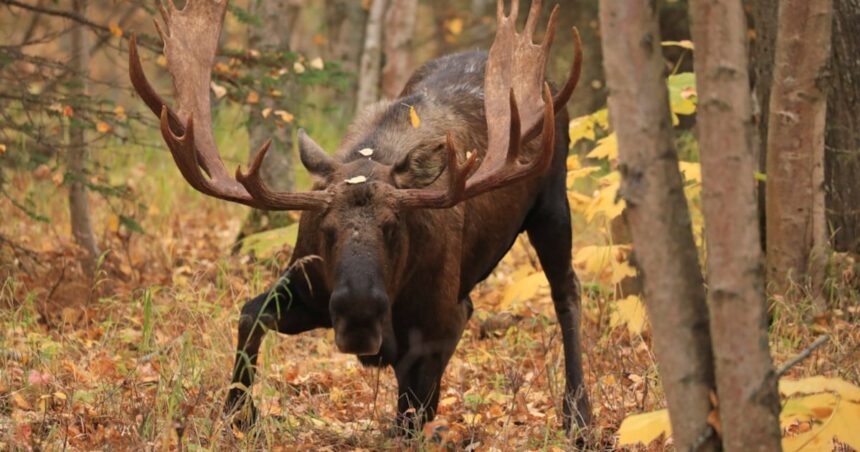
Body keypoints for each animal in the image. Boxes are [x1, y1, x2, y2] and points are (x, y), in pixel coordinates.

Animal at [129, 0, 589, 434]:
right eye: (326, 230)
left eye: (392, 227)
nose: (359, 314)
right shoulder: (308, 288)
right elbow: (250, 314)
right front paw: (240, 414)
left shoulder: (439, 322)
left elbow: (411, 416)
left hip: (552, 203)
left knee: (566, 292)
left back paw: (579, 417)